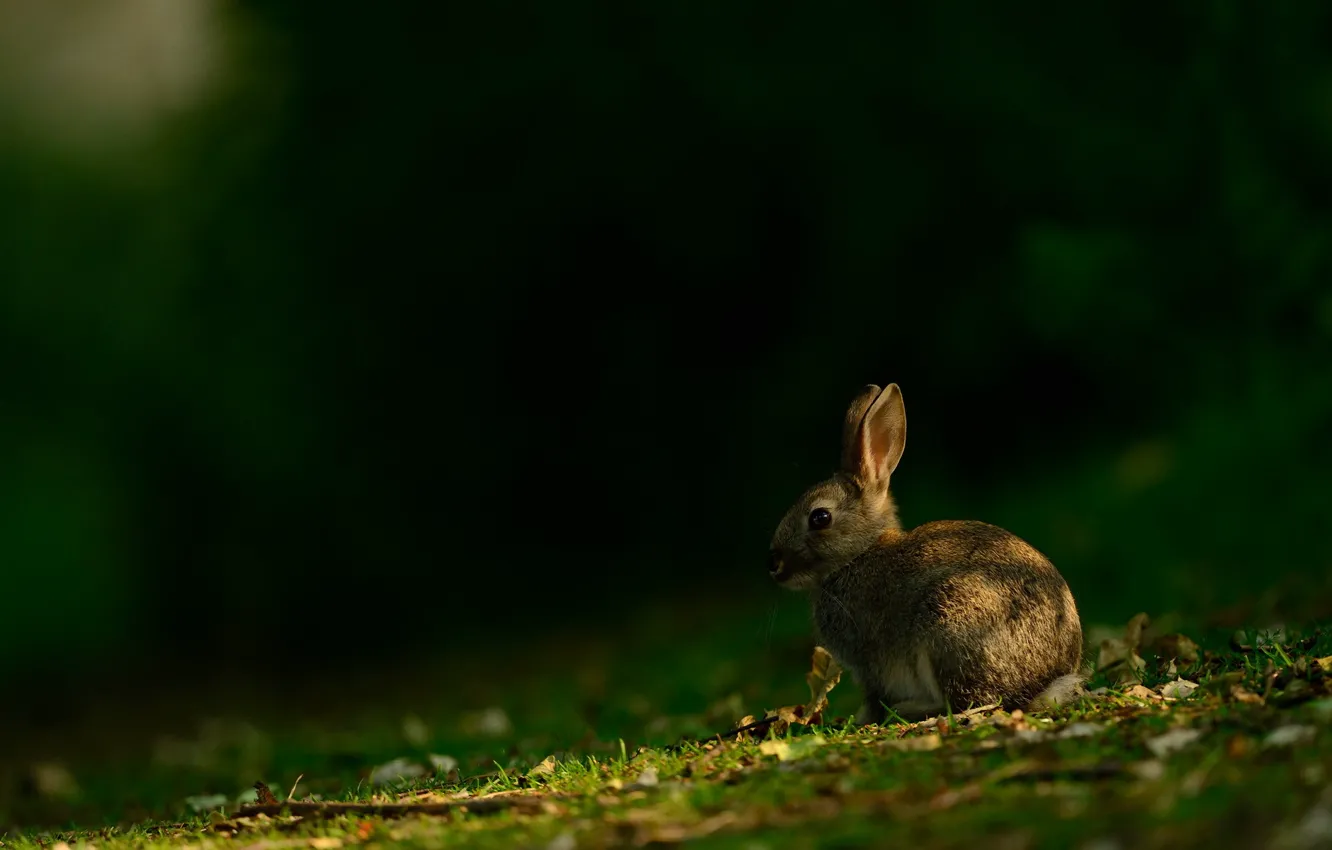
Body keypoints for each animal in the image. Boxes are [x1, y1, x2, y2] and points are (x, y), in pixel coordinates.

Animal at [768, 383, 1084, 724]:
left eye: (820, 517)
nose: (773, 563)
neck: (858, 555)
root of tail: (1045, 681)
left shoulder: (869, 662)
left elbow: (874, 696)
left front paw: (862, 719)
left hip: (950, 628)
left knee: (975, 702)